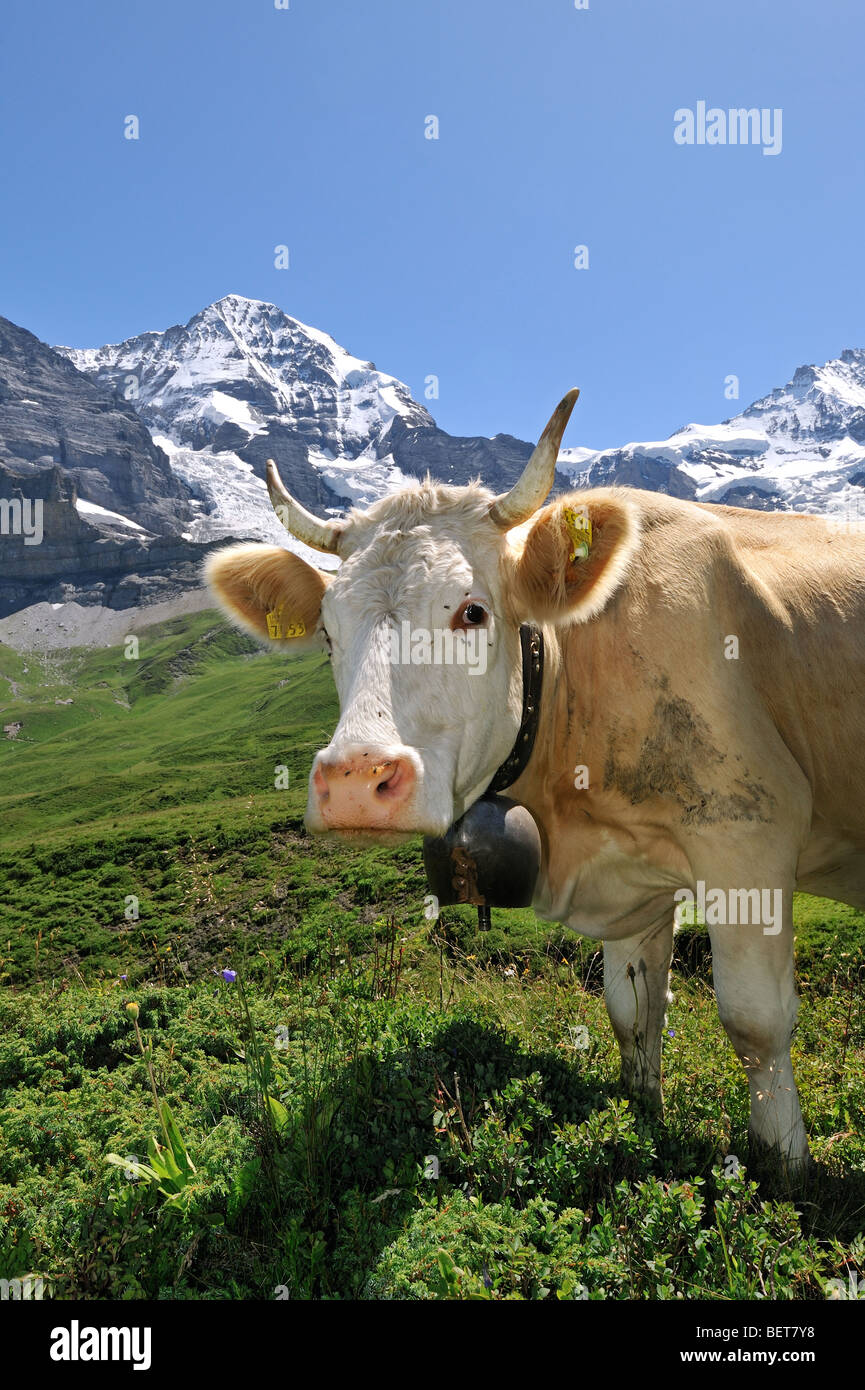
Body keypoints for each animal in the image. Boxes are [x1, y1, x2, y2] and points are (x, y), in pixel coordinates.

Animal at [207, 391, 865, 1173]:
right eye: (328, 634)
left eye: (472, 612)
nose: (354, 779)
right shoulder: (634, 881)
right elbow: (632, 1010)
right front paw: (642, 1117)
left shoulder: (748, 835)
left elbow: (755, 1022)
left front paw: (784, 1168)